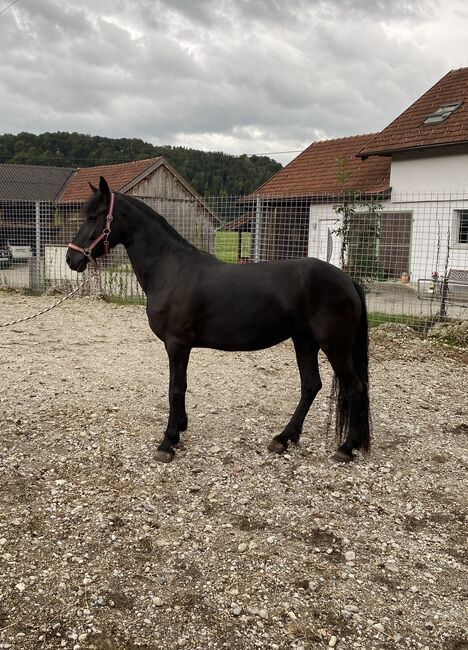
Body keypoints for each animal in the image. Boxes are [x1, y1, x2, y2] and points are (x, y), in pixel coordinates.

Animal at [66, 176, 370, 460]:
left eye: (94, 217)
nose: (71, 258)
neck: (171, 269)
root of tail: (347, 280)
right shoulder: (180, 346)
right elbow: (180, 386)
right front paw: (180, 428)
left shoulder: (176, 344)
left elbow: (175, 388)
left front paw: (168, 441)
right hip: (304, 341)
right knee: (311, 386)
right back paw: (284, 438)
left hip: (334, 347)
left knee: (355, 388)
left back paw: (346, 448)